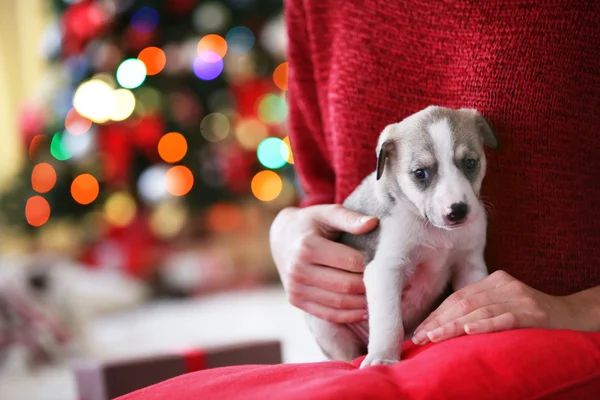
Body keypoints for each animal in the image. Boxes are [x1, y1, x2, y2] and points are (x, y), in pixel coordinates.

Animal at [308, 105, 500, 368]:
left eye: (470, 162)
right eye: (420, 173)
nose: (457, 211)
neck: (435, 232)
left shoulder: (469, 263)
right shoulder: (386, 269)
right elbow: (389, 322)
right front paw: (382, 358)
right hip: (326, 326)